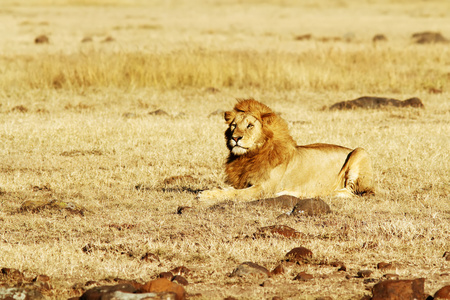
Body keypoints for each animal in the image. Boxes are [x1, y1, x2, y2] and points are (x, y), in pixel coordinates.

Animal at [199, 98, 374, 202]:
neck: (249, 156)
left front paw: (205, 195)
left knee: (352, 192)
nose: (235, 138)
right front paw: (209, 192)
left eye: (250, 125)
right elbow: (228, 189)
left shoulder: (262, 189)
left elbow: (235, 194)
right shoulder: (243, 181)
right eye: (234, 126)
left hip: (360, 151)